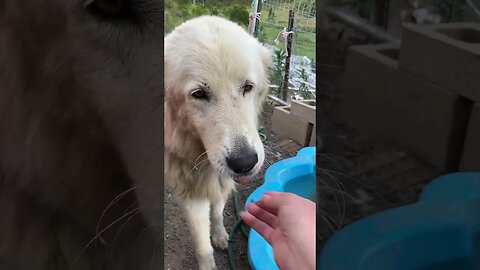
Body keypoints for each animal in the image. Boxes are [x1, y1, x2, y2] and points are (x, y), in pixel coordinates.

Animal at [164, 15, 270, 268]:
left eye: (247, 87)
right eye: (199, 94)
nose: (244, 163)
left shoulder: (221, 180)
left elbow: (218, 211)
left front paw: (221, 234)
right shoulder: (191, 196)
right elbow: (202, 245)